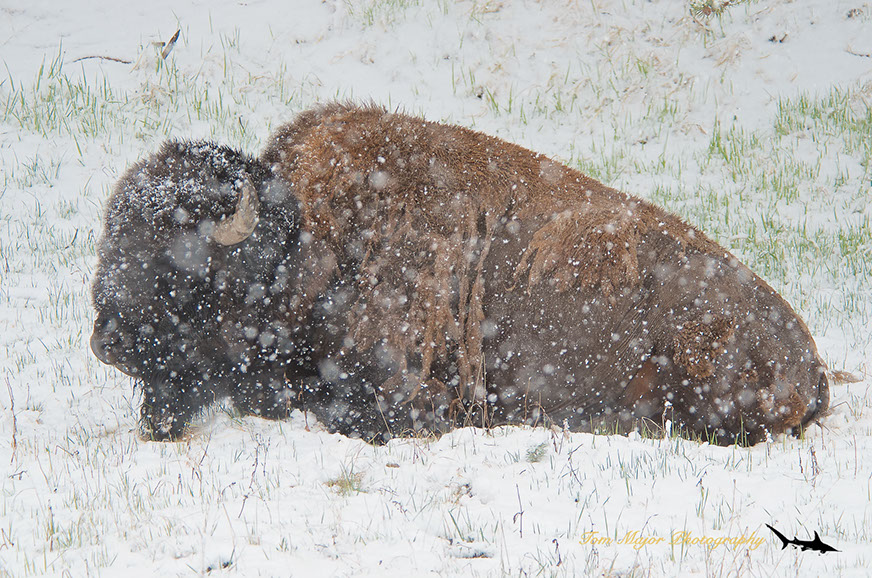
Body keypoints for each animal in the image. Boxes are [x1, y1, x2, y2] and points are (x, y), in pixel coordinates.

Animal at [90, 101, 832, 444]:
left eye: (178, 266)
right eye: (109, 242)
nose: (106, 342)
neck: (305, 250)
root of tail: (811, 360)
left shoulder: (413, 397)